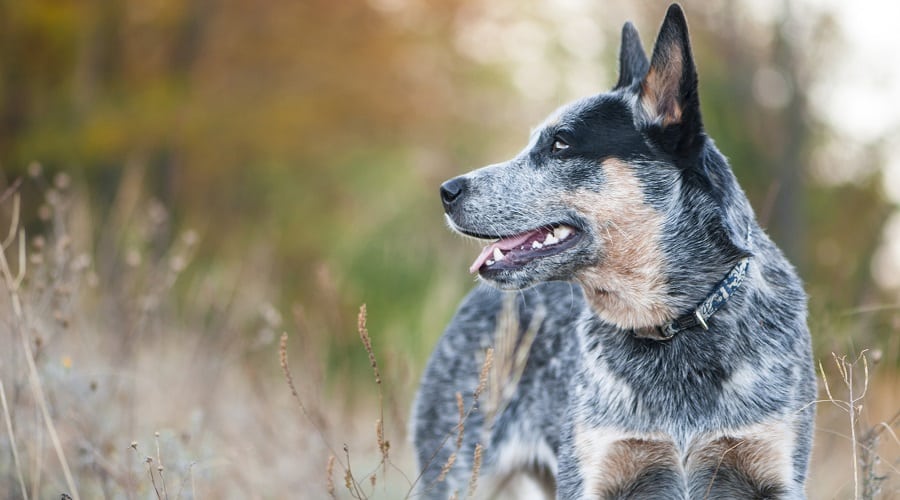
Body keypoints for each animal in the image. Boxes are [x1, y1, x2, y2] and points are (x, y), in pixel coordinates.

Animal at [414, 3, 816, 500]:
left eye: (560, 142)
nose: (447, 191)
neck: (673, 328)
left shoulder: (772, 471)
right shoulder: (596, 471)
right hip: (456, 473)